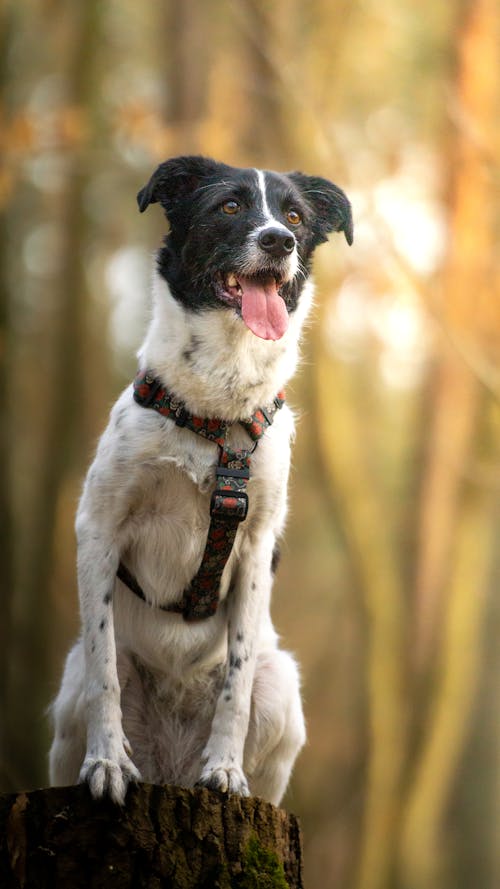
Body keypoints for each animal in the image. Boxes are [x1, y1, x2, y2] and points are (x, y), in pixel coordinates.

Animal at [47, 156, 352, 808]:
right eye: (229, 206)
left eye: (295, 217)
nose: (279, 241)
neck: (217, 411)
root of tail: (170, 768)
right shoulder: (98, 528)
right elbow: (106, 674)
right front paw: (106, 762)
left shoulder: (256, 547)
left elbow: (235, 682)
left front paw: (225, 771)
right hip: (70, 689)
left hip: (281, 688)